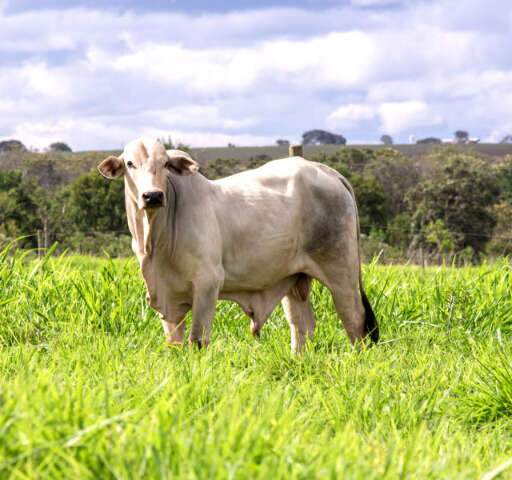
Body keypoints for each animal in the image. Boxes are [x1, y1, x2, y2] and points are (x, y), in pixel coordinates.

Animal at [98, 139, 378, 352]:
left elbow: (197, 340)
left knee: (355, 321)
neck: (155, 239)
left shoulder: (208, 283)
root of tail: (329, 172)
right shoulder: (167, 296)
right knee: (302, 325)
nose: (153, 196)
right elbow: (174, 341)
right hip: (294, 280)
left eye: (165, 163)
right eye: (130, 163)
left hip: (342, 274)